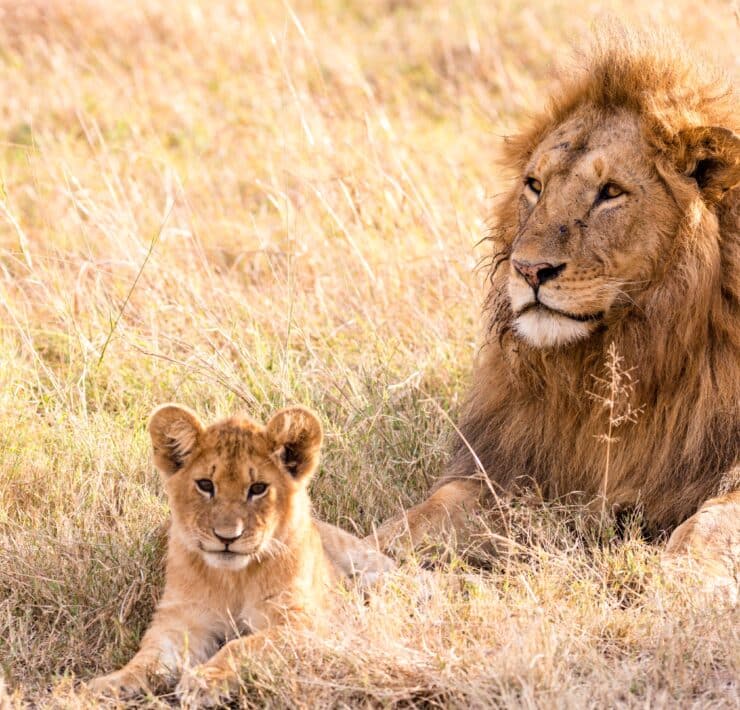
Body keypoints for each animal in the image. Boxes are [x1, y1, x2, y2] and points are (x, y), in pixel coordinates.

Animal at [89, 404, 395, 705]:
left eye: (258, 488)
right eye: (205, 485)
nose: (227, 537)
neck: (232, 579)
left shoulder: (305, 622)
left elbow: (243, 645)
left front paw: (204, 681)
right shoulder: (182, 618)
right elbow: (149, 657)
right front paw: (110, 685)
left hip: (362, 558)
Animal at [370, 30, 739, 596]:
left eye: (611, 192)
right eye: (535, 186)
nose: (528, 269)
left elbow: (713, 523)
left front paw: (674, 578)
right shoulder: (514, 465)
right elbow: (426, 512)